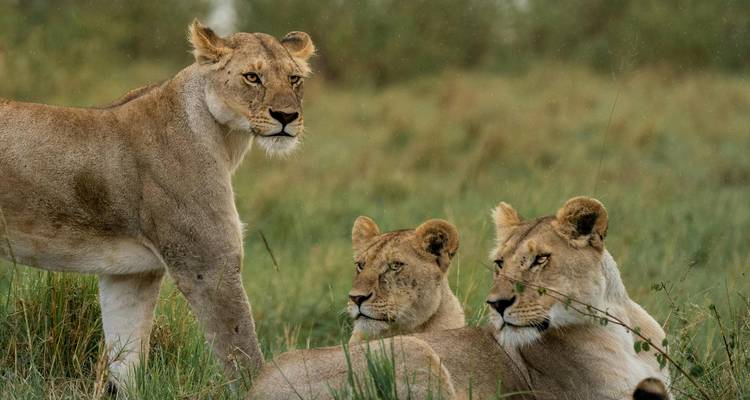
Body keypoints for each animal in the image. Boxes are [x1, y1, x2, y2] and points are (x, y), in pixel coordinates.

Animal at [0, 19, 314, 392]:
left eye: (294, 79)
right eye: (252, 77)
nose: (287, 116)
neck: (224, 140)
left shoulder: (131, 275)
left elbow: (127, 358)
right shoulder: (208, 265)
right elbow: (243, 355)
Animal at [248, 197, 671, 400]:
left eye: (539, 259)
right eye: (500, 262)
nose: (496, 305)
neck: (617, 325)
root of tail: (256, 385)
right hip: (418, 352)